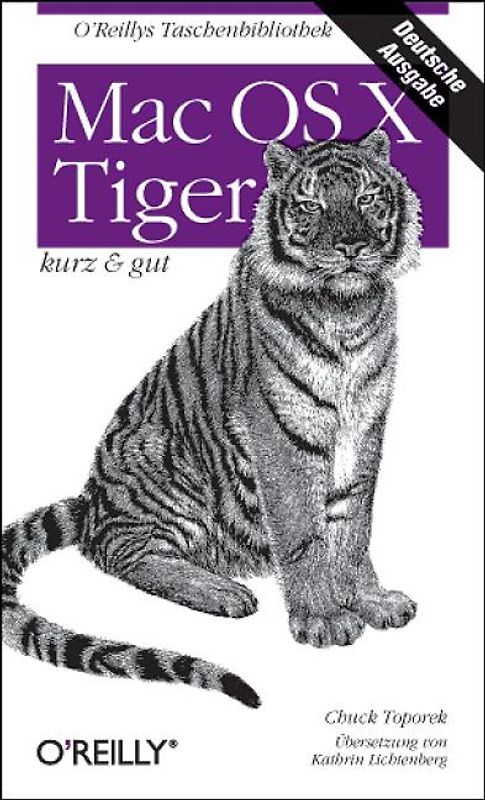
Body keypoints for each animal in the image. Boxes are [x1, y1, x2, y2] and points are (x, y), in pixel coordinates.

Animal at [2, 129, 421, 709]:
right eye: (311, 206)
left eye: (367, 199)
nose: (351, 249)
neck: (347, 310)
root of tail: (92, 498)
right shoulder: (280, 433)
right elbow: (304, 532)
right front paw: (323, 618)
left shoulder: (363, 426)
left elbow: (353, 525)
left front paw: (372, 599)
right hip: (157, 455)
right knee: (118, 551)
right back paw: (223, 591)